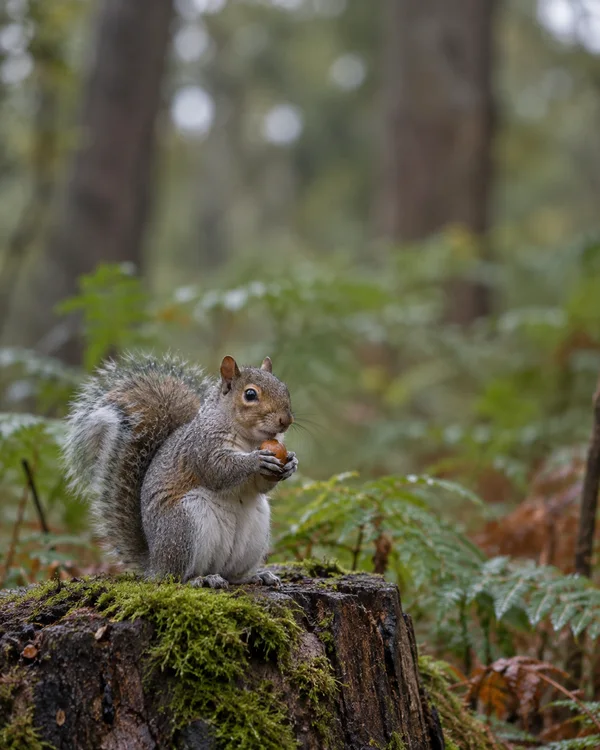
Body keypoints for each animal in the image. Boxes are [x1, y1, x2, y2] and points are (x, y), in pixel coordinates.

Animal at [63, 352, 298, 588]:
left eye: (285, 389)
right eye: (250, 394)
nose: (286, 420)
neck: (250, 439)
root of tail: (155, 564)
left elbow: (261, 486)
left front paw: (290, 464)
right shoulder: (202, 447)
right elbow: (218, 470)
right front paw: (256, 460)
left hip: (254, 534)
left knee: (231, 575)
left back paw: (255, 576)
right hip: (184, 527)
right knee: (177, 577)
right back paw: (201, 579)